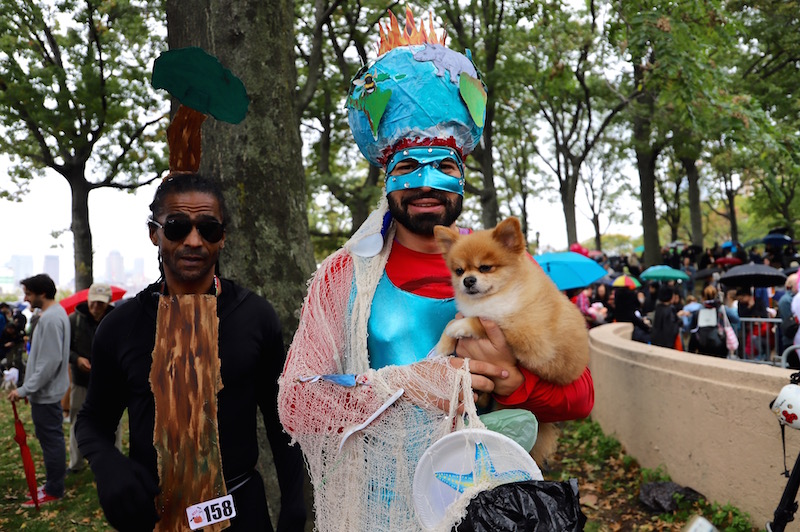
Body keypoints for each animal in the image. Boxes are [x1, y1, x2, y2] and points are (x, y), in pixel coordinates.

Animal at [434, 216, 592, 462]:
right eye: (459, 271)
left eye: (485, 267)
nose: (468, 280)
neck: (499, 294)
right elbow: (452, 322)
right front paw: (442, 345)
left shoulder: (529, 338)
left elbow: (479, 321)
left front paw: (461, 327)